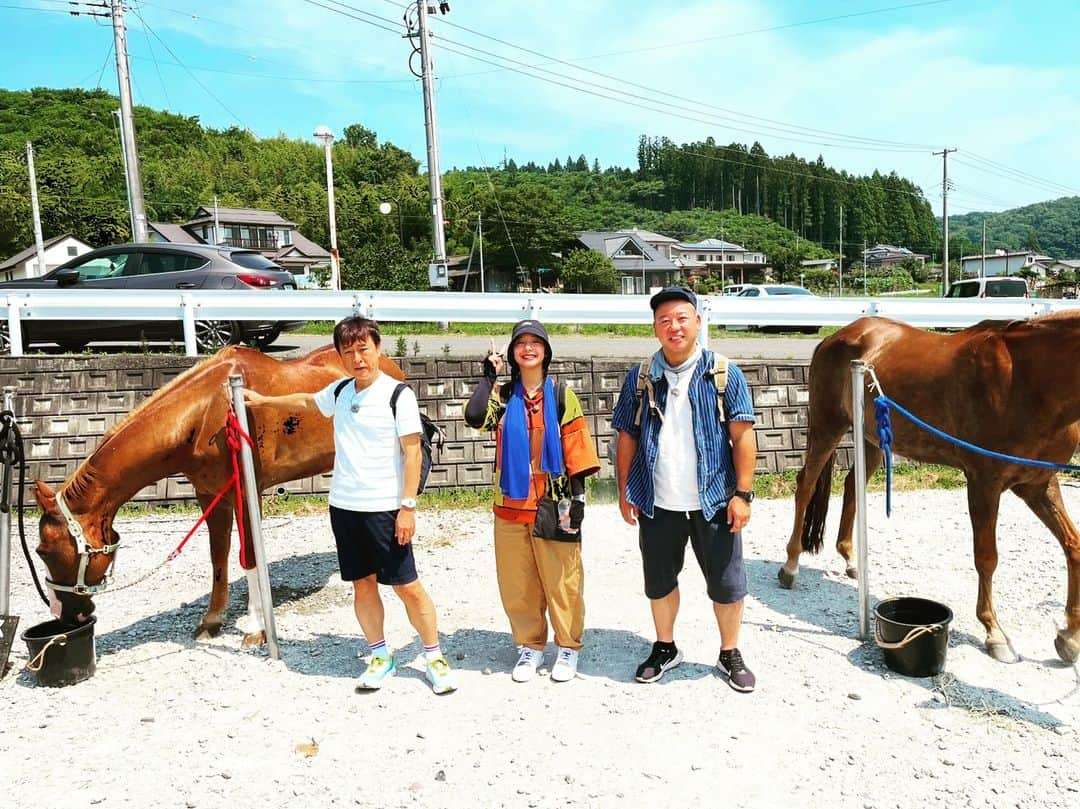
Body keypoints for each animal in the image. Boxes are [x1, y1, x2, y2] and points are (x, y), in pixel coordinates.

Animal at [34, 343, 406, 648]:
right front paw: (212, 621)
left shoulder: (247, 495)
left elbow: (250, 557)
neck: (208, 411)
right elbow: (218, 557)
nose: (65, 614)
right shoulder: (208, 495)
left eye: (46, 552)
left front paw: (255, 628)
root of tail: (391, 364)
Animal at [781, 313, 1080, 661]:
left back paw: (852, 560)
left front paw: (1069, 637)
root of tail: (839, 335)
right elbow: (987, 557)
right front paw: (994, 633)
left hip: (872, 438)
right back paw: (790, 566)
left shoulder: (1039, 485)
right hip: (828, 426)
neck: (1026, 381)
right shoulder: (984, 483)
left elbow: (1072, 546)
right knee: (805, 485)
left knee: (852, 486)